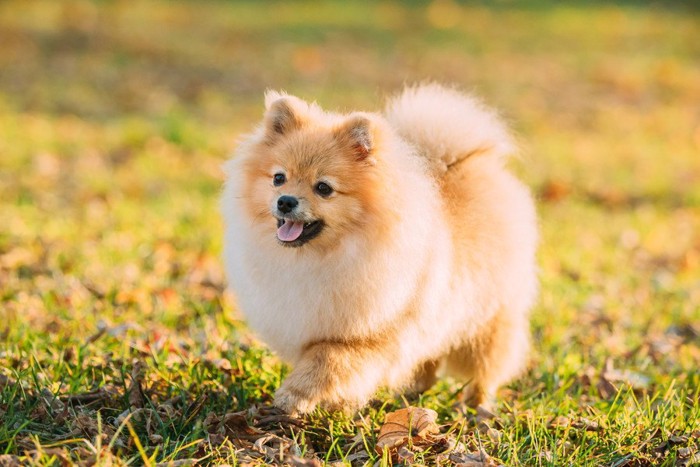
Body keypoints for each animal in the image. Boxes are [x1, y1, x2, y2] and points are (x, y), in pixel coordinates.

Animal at [221, 83, 540, 414]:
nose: (285, 201)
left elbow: (326, 361)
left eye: (323, 188)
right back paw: (414, 393)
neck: (320, 257)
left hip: (487, 319)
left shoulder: (368, 334)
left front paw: (294, 396)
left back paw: (477, 406)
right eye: (278, 178)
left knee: (484, 369)